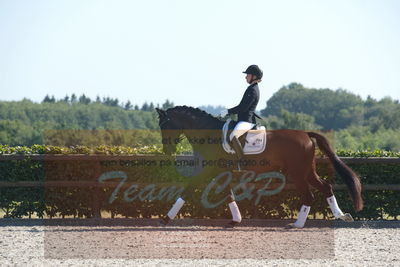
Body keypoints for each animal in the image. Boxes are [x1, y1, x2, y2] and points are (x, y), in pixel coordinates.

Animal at [156, 106, 362, 228]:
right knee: (326, 187)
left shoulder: (210, 169)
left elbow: (189, 188)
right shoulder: (221, 171)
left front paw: (166, 218)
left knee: (309, 195)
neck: (208, 133)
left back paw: (297, 224)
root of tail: (305, 134)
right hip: (307, 171)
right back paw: (341, 216)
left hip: (297, 173)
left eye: (165, 124)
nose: (167, 150)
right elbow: (228, 194)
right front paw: (236, 219)